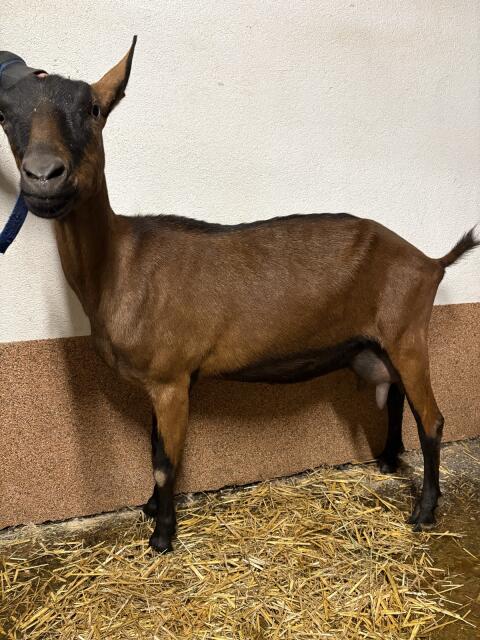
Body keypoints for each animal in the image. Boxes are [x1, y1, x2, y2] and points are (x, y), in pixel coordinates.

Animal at [1, 39, 478, 552]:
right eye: (6, 114)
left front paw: (162, 537)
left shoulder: (171, 378)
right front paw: (150, 510)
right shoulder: (161, 381)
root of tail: (431, 262)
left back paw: (424, 511)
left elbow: (165, 461)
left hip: (409, 334)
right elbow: (154, 447)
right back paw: (389, 460)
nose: (43, 177)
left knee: (432, 420)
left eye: (92, 109)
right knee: (393, 395)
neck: (120, 267)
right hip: (379, 342)